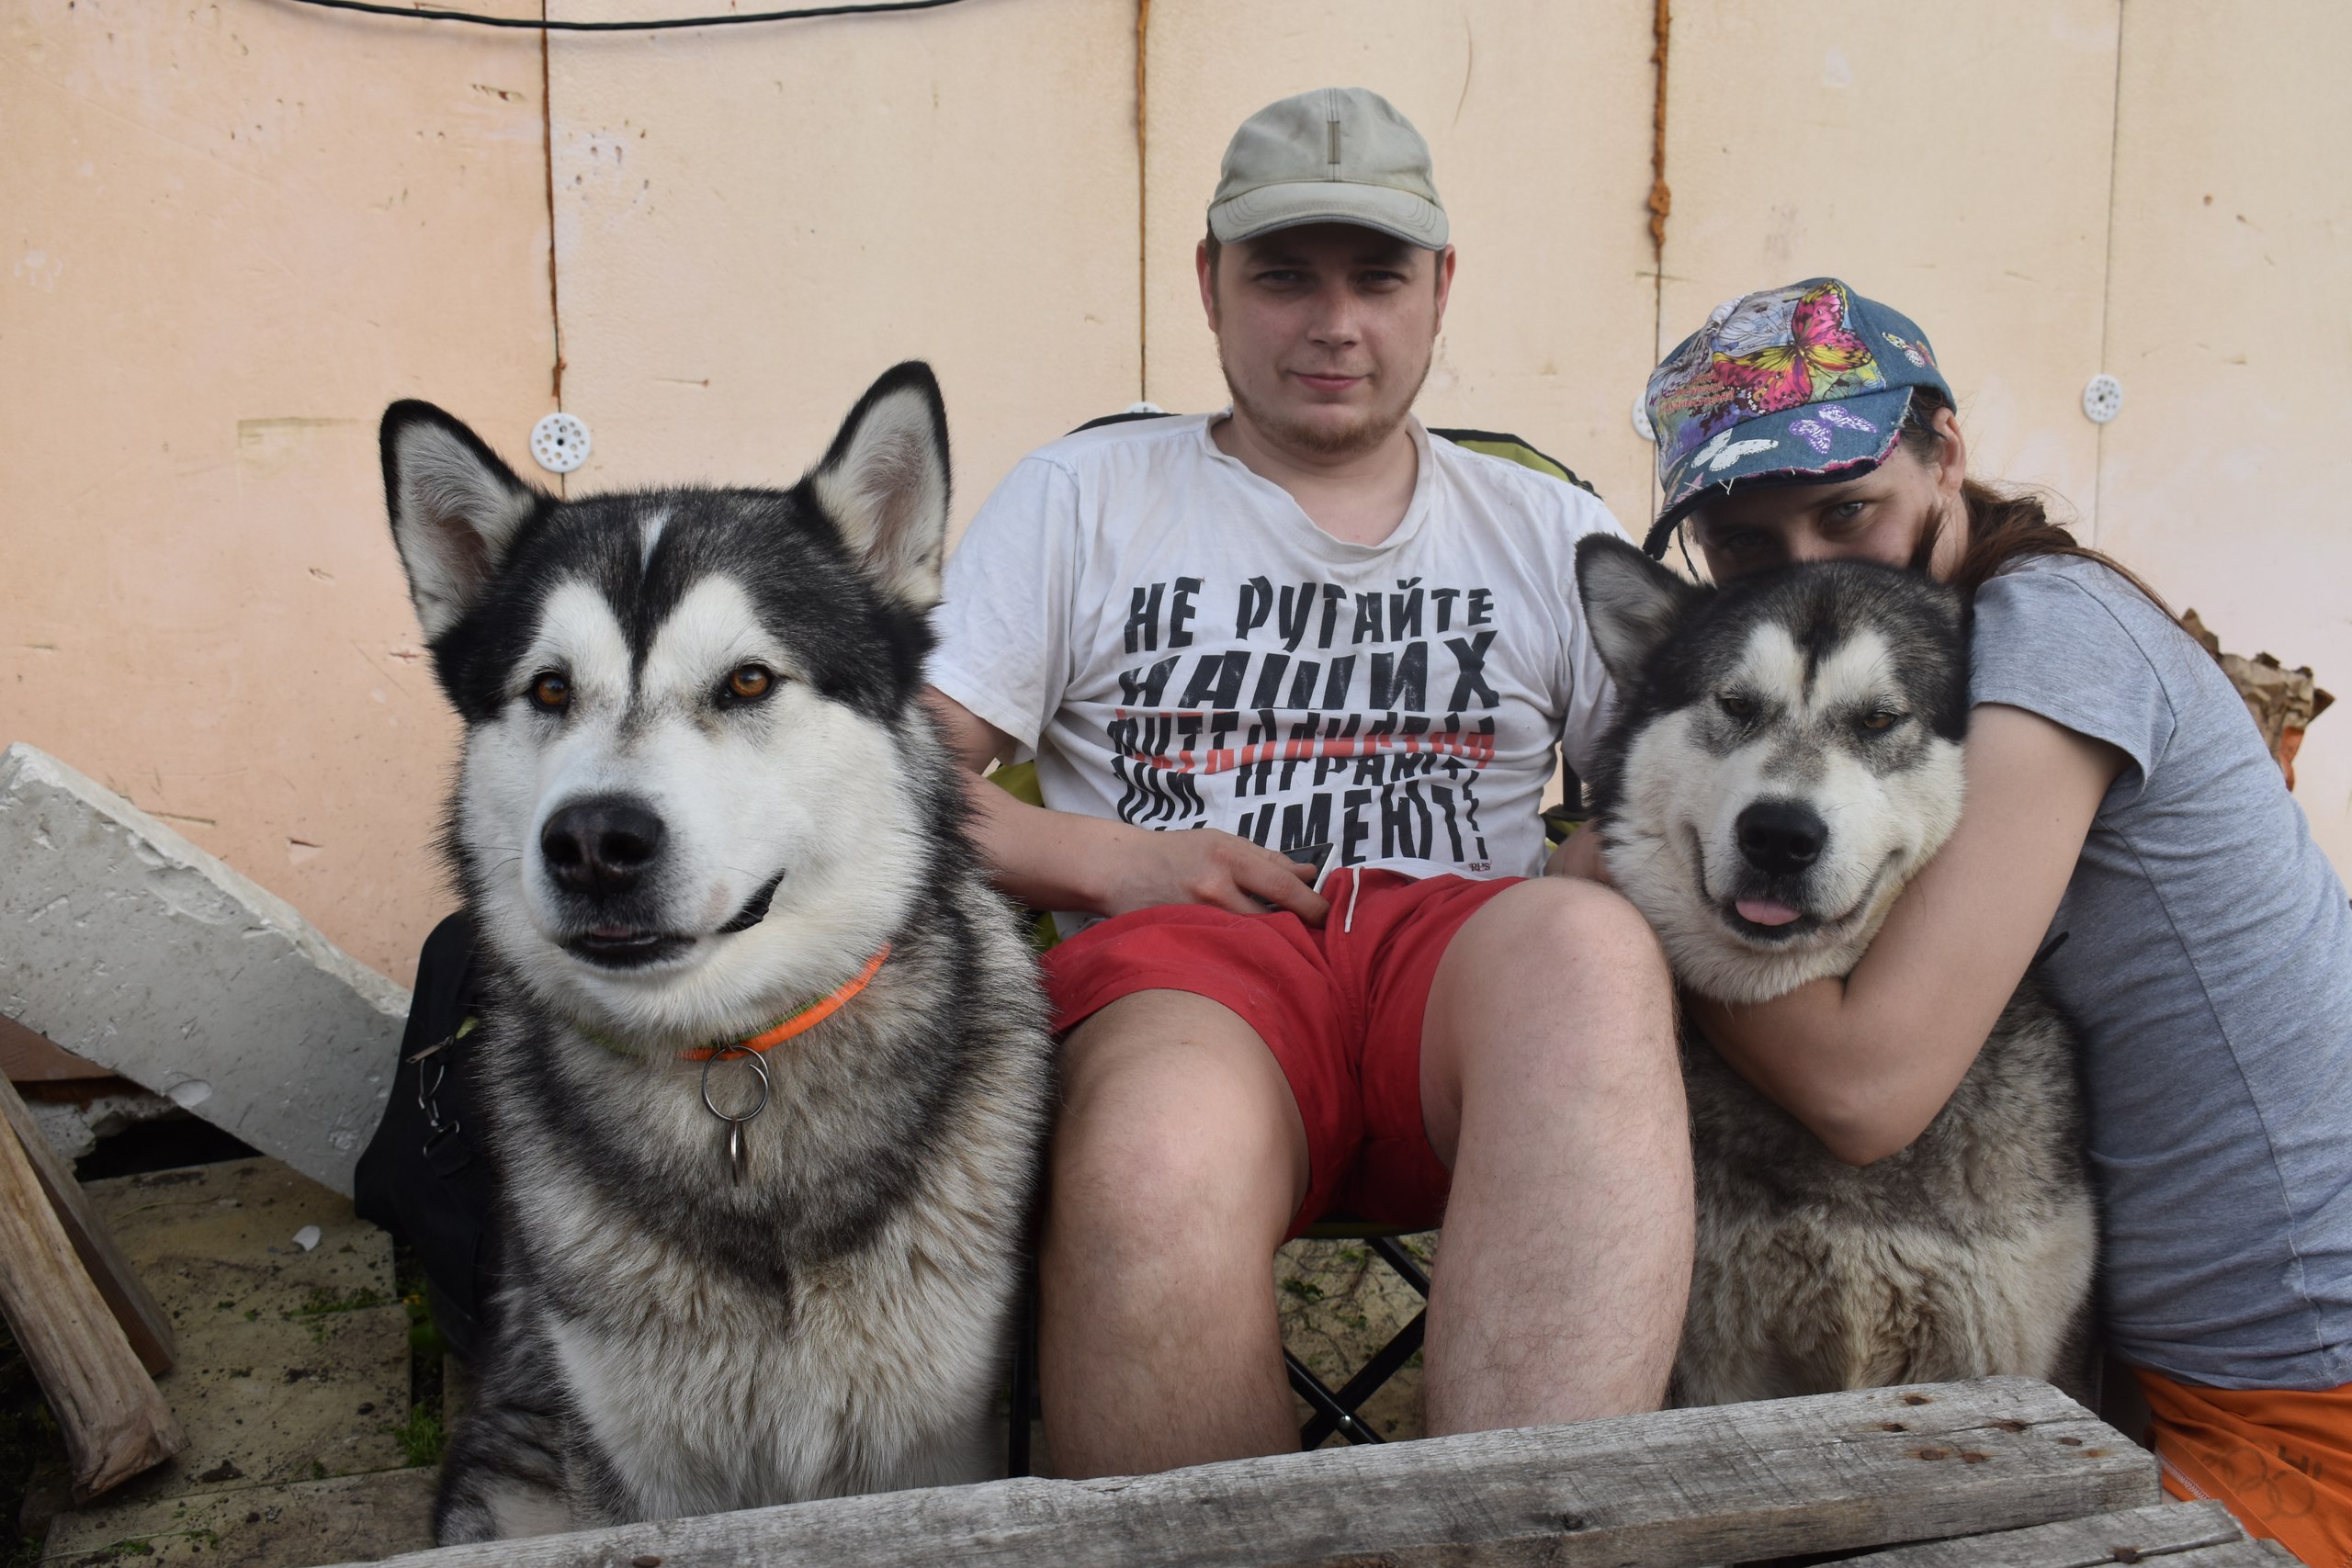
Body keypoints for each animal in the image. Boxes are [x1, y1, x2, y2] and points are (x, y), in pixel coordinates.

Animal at [378, 363, 1052, 1542]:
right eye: (549, 689)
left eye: (746, 682)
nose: (594, 842)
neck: (737, 1064)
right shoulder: (648, 1476)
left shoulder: (938, 1444)